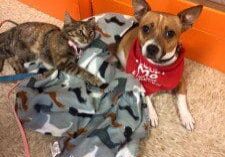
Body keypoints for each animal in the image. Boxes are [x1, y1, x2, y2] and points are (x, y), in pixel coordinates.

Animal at [116, 0, 204, 130]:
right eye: (146, 28)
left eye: (170, 33)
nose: (152, 48)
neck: (160, 65)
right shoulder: (141, 84)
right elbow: (147, 99)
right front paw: (152, 114)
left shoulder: (181, 81)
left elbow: (182, 99)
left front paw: (186, 117)